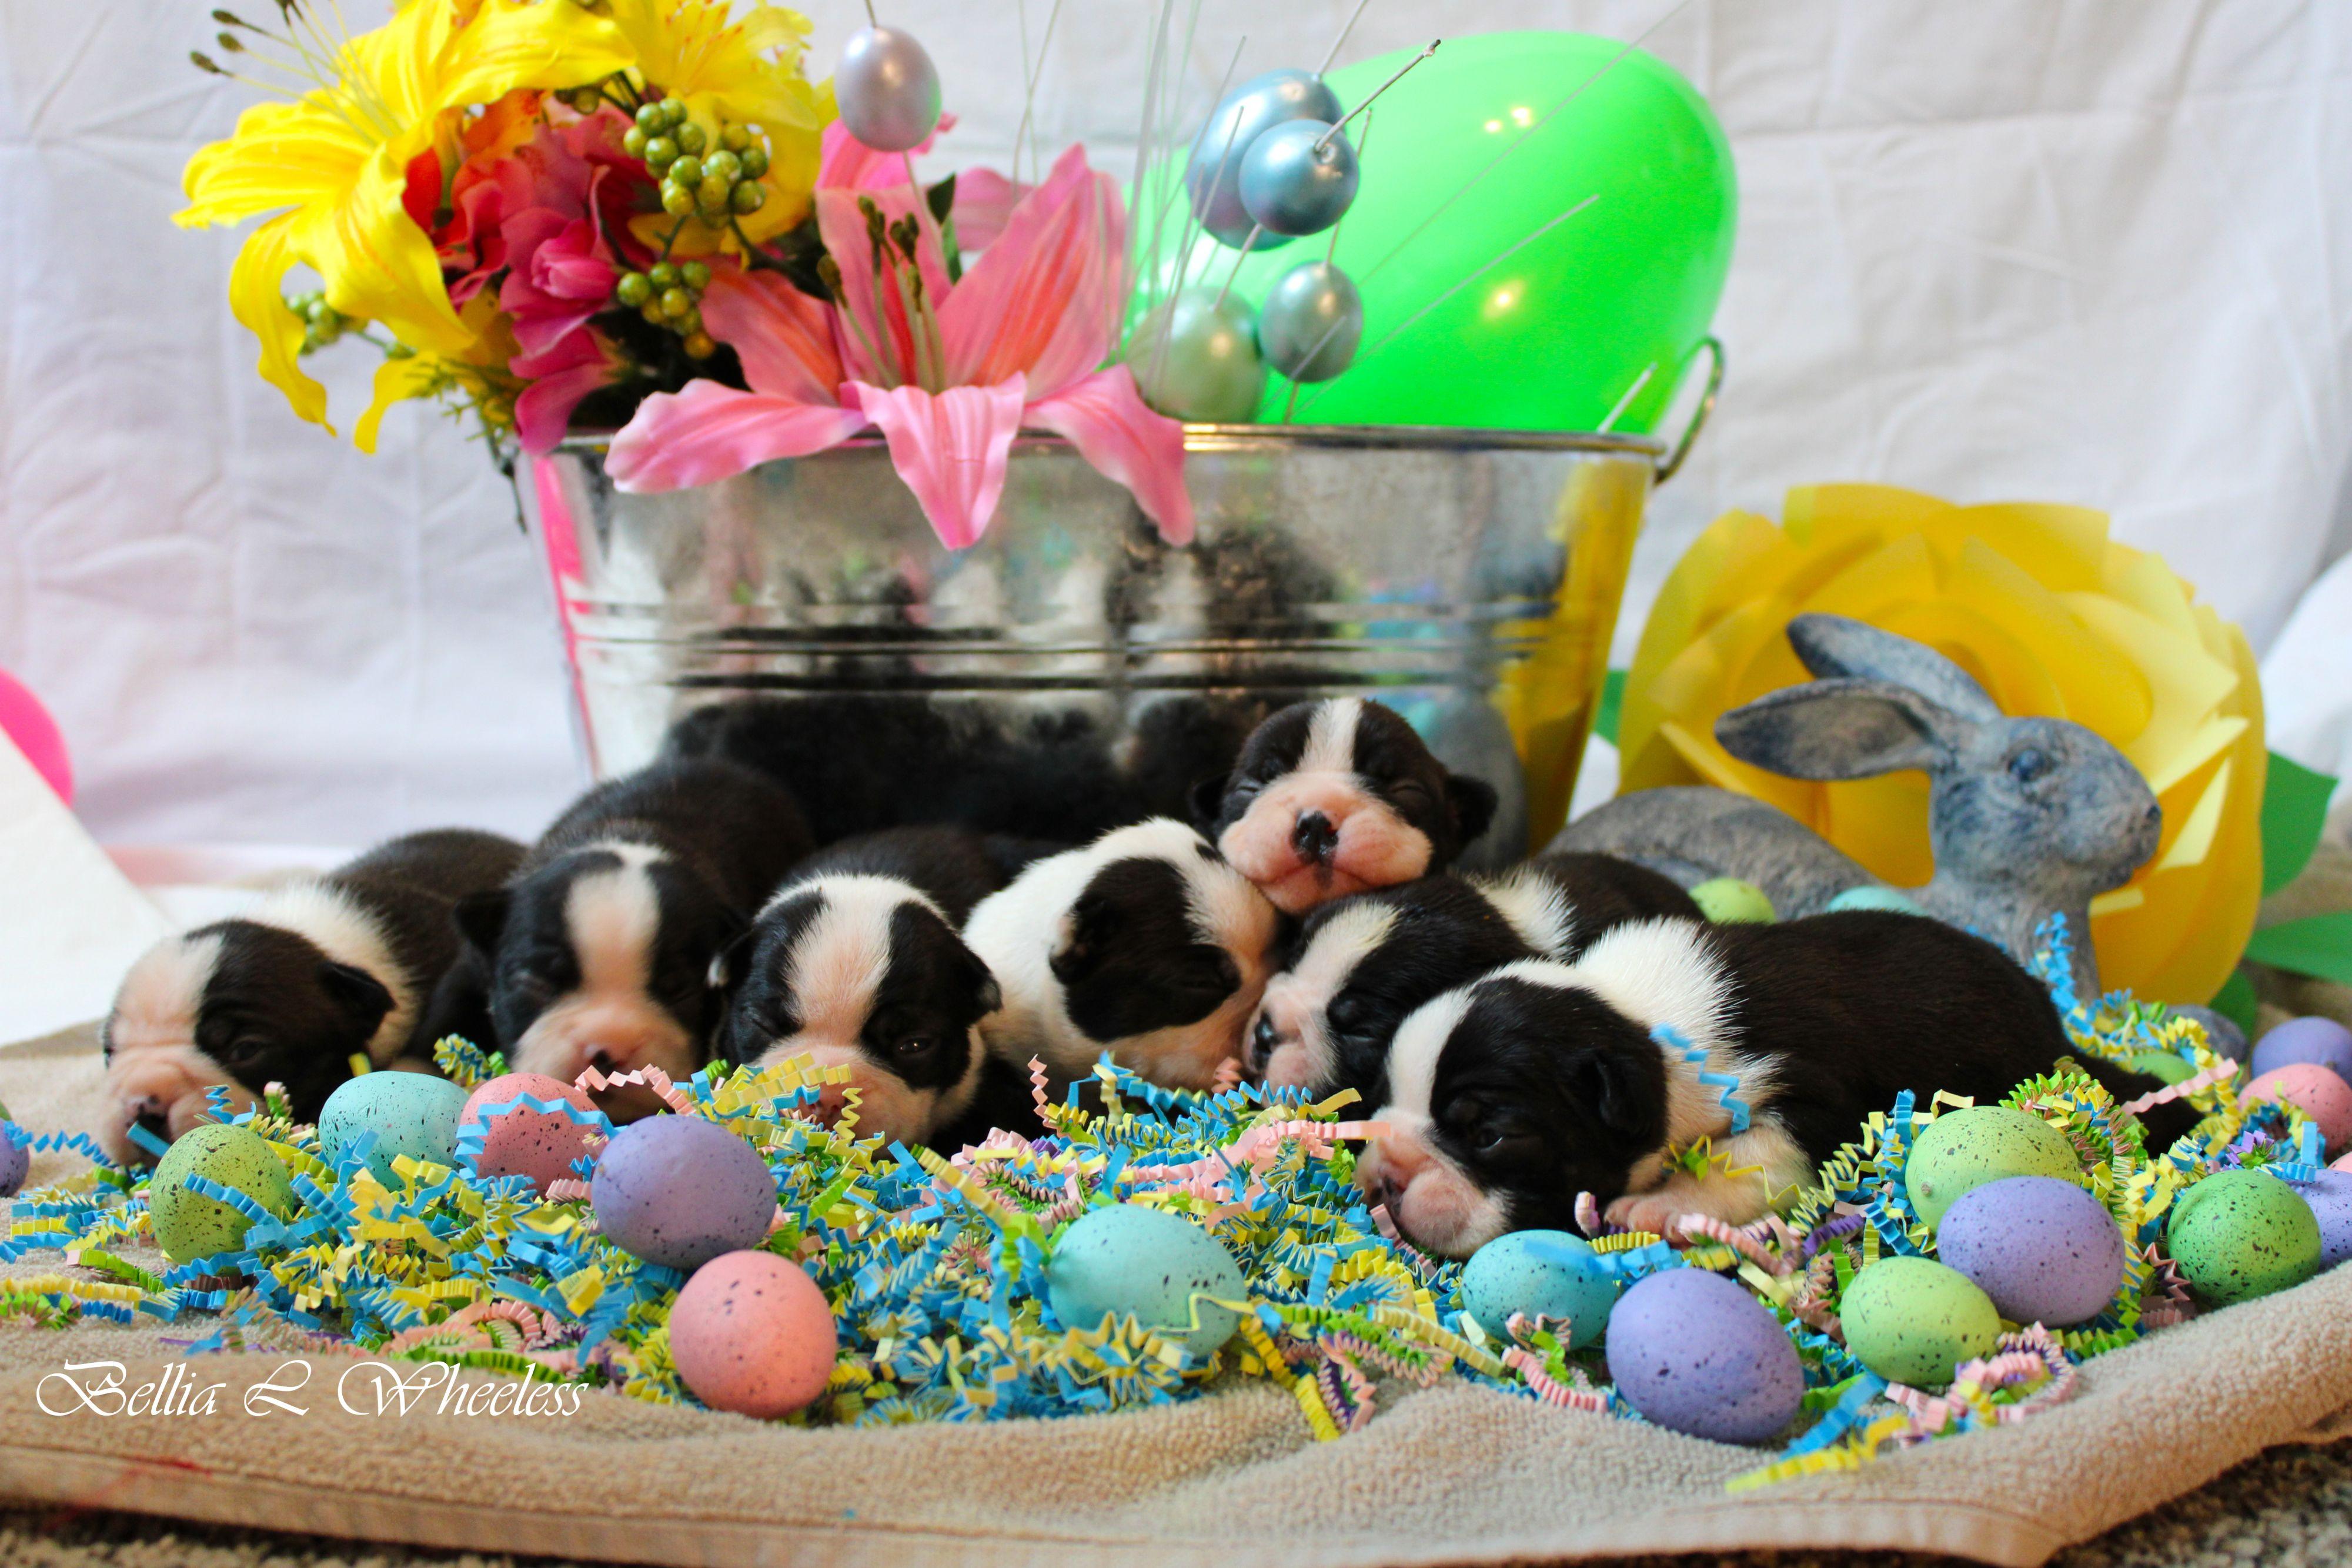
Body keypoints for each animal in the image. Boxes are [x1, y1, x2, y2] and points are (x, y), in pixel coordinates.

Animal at [1353, 910, 2195, 1257]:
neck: (1634, 1017)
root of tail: (2060, 1033)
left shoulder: (1816, 1101)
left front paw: (1662, 1207)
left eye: (1490, 1135)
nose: (1384, 1176)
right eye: (1384, 1095)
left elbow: (1752, 1156)